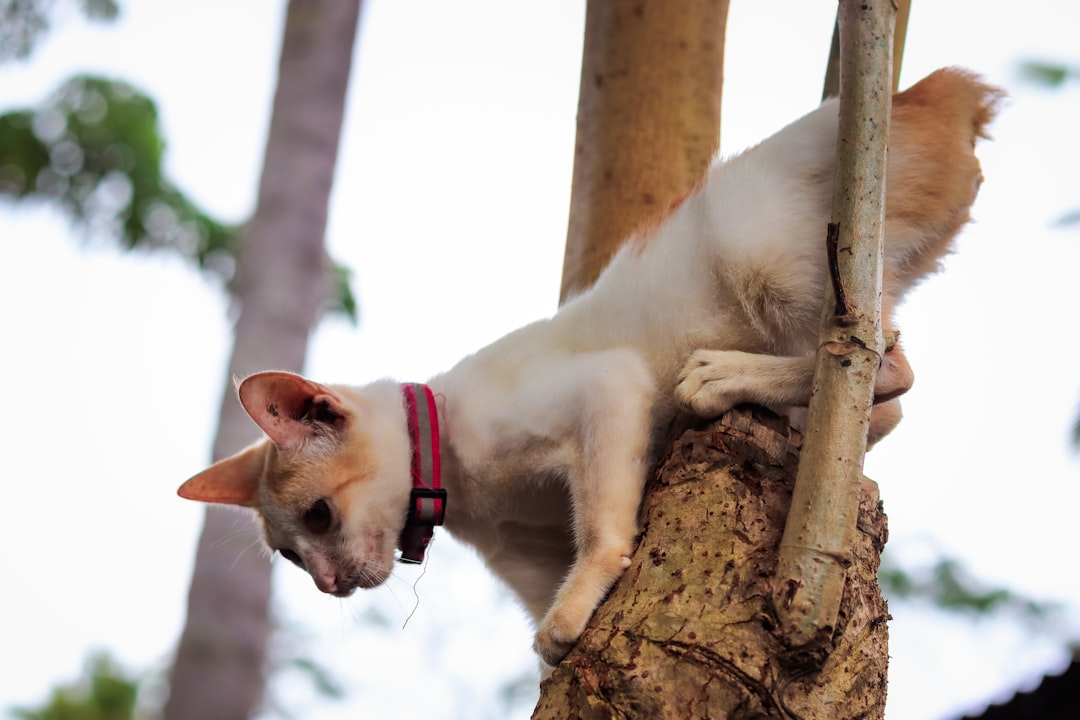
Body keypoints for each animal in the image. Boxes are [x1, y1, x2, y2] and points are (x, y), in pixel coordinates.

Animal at [179, 69, 1002, 669]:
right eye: (291, 557)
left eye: (319, 518)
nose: (330, 586)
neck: (465, 486)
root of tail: (932, 87)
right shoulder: (528, 550)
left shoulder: (608, 389)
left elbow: (604, 536)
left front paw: (569, 618)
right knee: (878, 403)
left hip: (773, 258)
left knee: (878, 366)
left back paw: (719, 378)